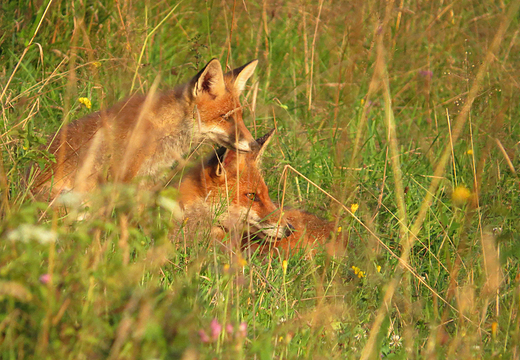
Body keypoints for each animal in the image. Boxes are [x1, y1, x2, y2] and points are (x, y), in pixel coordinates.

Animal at [32, 59, 258, 200]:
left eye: (240, 116)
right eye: (225, 117)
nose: (255, 144)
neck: (162, 131)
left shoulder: (146, 180)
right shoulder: (122, 177)